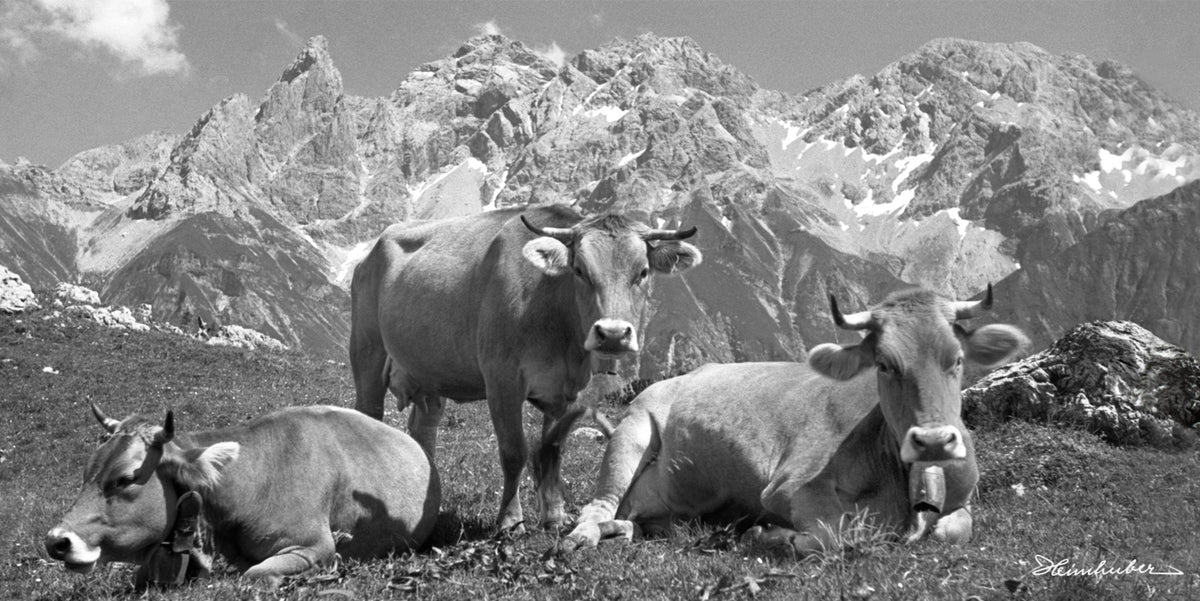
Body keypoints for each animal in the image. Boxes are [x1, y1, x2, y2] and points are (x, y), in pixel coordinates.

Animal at [350, 204, 702, 531]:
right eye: (579, 270)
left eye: (642, 272)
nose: (613, 333)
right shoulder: (501, 380)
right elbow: (514, 451)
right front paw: (510, 520)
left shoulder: (569, 390)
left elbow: (552, 451)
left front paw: (554, 518)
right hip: (367, 353)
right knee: (369, 416)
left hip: (430, 374)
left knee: (424, 428)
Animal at [558, 285, 1028, 555]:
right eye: (884, 364)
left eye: (958, 359)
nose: (932, 441)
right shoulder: (791, 486)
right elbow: (838, 534)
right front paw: (771, 536)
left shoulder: (963, 500)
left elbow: (956, 529)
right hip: (632, 430)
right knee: (595, 506)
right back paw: (583, 537)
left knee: (639, 520)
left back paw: (627, 530)